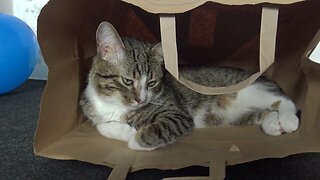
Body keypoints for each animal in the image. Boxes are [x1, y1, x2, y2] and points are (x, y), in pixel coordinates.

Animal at [79, 20, 298, 150]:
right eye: (127, 81)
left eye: (151, 82)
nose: (141, 100)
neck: (113, 104)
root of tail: (259, 76)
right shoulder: (91, 111)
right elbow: (101, 126)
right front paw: (125, 130)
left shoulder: (178, 115)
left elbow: (156, 130)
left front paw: (135, 138)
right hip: (234, 117)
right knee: (264, 112)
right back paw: (273, 124)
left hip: (248, 91)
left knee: (284, 101)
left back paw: (288, 120)